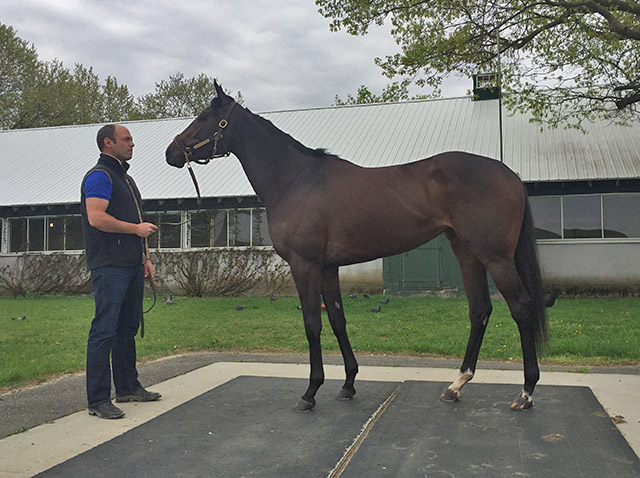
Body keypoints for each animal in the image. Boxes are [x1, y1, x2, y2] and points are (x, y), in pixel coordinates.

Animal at [165, 81, 544, 410]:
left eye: (204, 118)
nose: (171, 152)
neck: (296, 180)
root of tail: (509, 174)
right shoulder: (328, 267)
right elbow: (337, 319)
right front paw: (348, 384)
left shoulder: (304, 265)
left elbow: (312, 324)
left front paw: (310, 392)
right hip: (466, 252)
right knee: (480, 310)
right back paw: (456, 385)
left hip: (496, 257)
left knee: (522, 307)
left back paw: (526, 393)